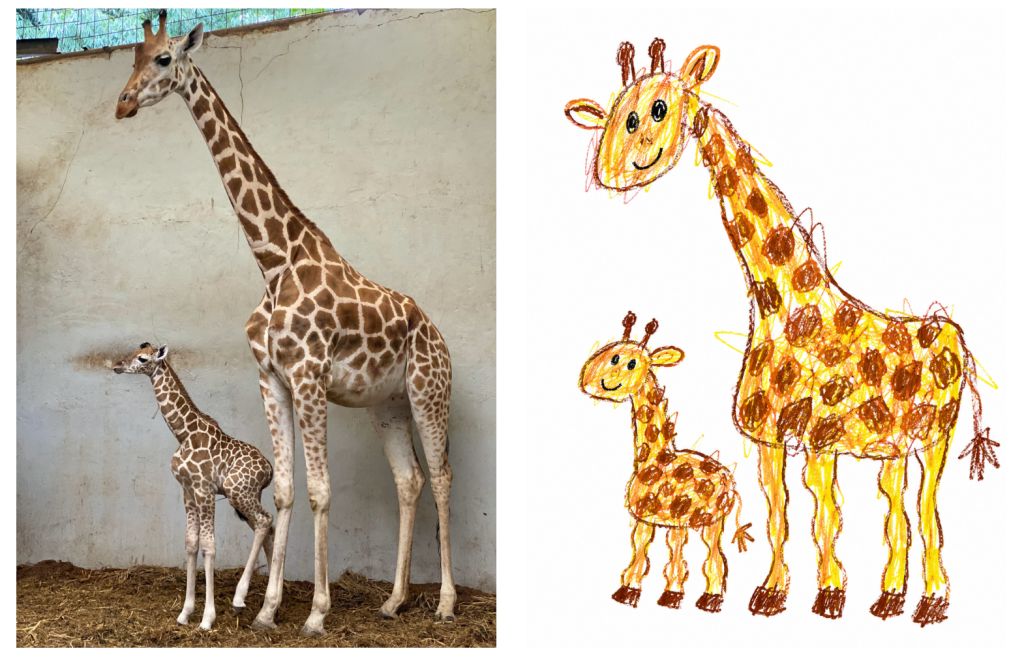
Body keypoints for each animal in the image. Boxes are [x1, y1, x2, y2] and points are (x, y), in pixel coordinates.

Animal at [112, 342, 275, 630]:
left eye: (141, 358)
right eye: (131, 352)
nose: (118, 365)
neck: (183, 433)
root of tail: (270, 471)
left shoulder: (204, 490)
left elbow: (209, 547)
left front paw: (207, 618)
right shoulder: (187, 491)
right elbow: (190, 543)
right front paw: (185, 613)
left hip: (237, 491)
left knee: (265, 522)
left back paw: (239, 598)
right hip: (245, 496)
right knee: (267, 527)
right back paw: (270, 607)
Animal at [579, 312, 753, 612]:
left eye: (629, 362)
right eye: (611, 354)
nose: (587, 380)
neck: (656, 457)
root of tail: (731, 482)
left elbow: (649, 553)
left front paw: (631, 593)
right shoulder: (649, 518)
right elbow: (642, 551)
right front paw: (632, 593)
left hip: (713, 521)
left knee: (715, 557)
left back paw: (711, 600)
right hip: (689, 521)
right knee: (683, 552)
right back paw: (675, 596)